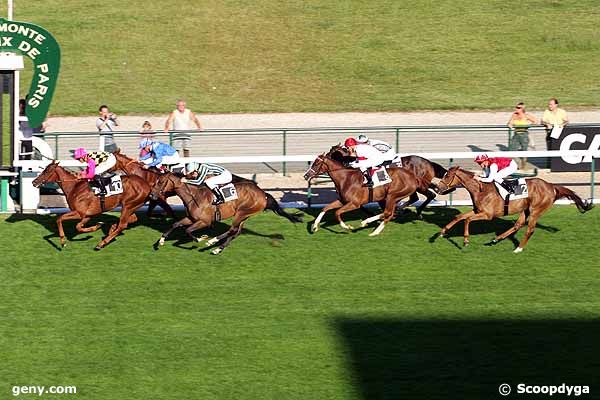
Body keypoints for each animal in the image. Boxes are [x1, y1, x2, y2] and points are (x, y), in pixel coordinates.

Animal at [149, 171, 300, 253]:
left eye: (161, 182)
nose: (152, 195)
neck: (194, 196)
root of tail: (264, 194)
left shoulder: (204, 221)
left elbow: (188, 230)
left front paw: (201, 238)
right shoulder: (191, 218)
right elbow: (175, 224)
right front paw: (161, 241)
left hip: (241, 213)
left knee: (232, 230)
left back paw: (212, 242)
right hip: (245, 215)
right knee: (236, 232)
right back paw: (218, 249)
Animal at [434, 164, 592, 252]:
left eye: (447, 176)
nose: (437, 188)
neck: (480, 189)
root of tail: (551, 186)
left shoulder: (487, 215)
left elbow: (467, 221)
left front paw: (466, 241)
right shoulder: (477, 210)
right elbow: (459, 217)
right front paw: (441, 232)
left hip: (536, 210)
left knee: (530, 229)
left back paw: (518, 249)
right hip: (525, 209)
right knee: (518, 225)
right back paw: (496, 239)